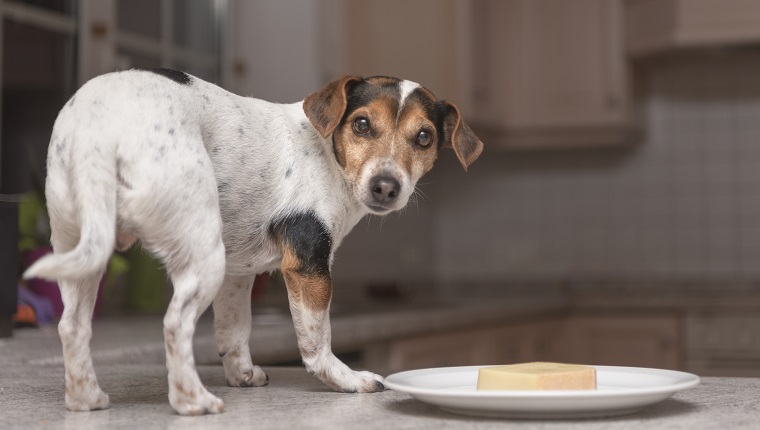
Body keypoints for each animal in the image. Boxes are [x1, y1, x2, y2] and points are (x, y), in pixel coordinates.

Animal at [26, 69, 484, 414]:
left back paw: (85, 398)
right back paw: (193, 402)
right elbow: (317, 340)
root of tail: (101, 129)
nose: (385, 187)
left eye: (424, 137)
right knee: (175, 324)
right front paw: (346, 380)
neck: (326, 153)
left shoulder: (236, 274)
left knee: (73, 326)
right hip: (202, 254)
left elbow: (234, 330)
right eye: (361, 124)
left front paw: (242, 374)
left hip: (83, 249)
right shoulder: (308, 267)